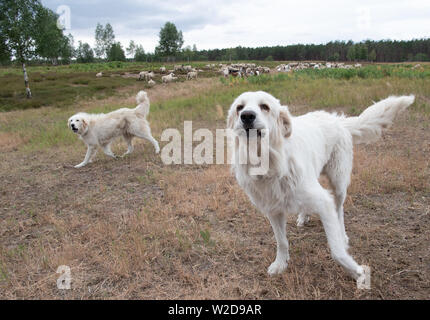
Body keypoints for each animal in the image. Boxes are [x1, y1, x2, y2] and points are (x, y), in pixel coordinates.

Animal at [227, 90, 414, 280]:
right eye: (239, 107)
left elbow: (337, 251)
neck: (269, 162)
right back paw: (304, 216)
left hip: (338, 184)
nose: (246, 116)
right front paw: (280, 264)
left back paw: (342, 234)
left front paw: (357, 272)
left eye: (264, 106)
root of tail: (337, 119)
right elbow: (281, 241)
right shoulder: (273, 210)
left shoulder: (325, 203)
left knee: (339, 211)